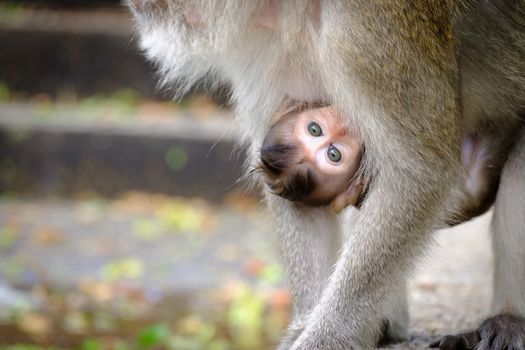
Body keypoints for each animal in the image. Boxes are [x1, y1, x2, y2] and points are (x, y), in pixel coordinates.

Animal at [128, 1, 524, 348]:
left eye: (318, 131)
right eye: (326, 146)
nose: (339, 131)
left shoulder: (371, 34)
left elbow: (419, 173)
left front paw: (326, 338)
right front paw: (305, 325)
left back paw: (508, 320)